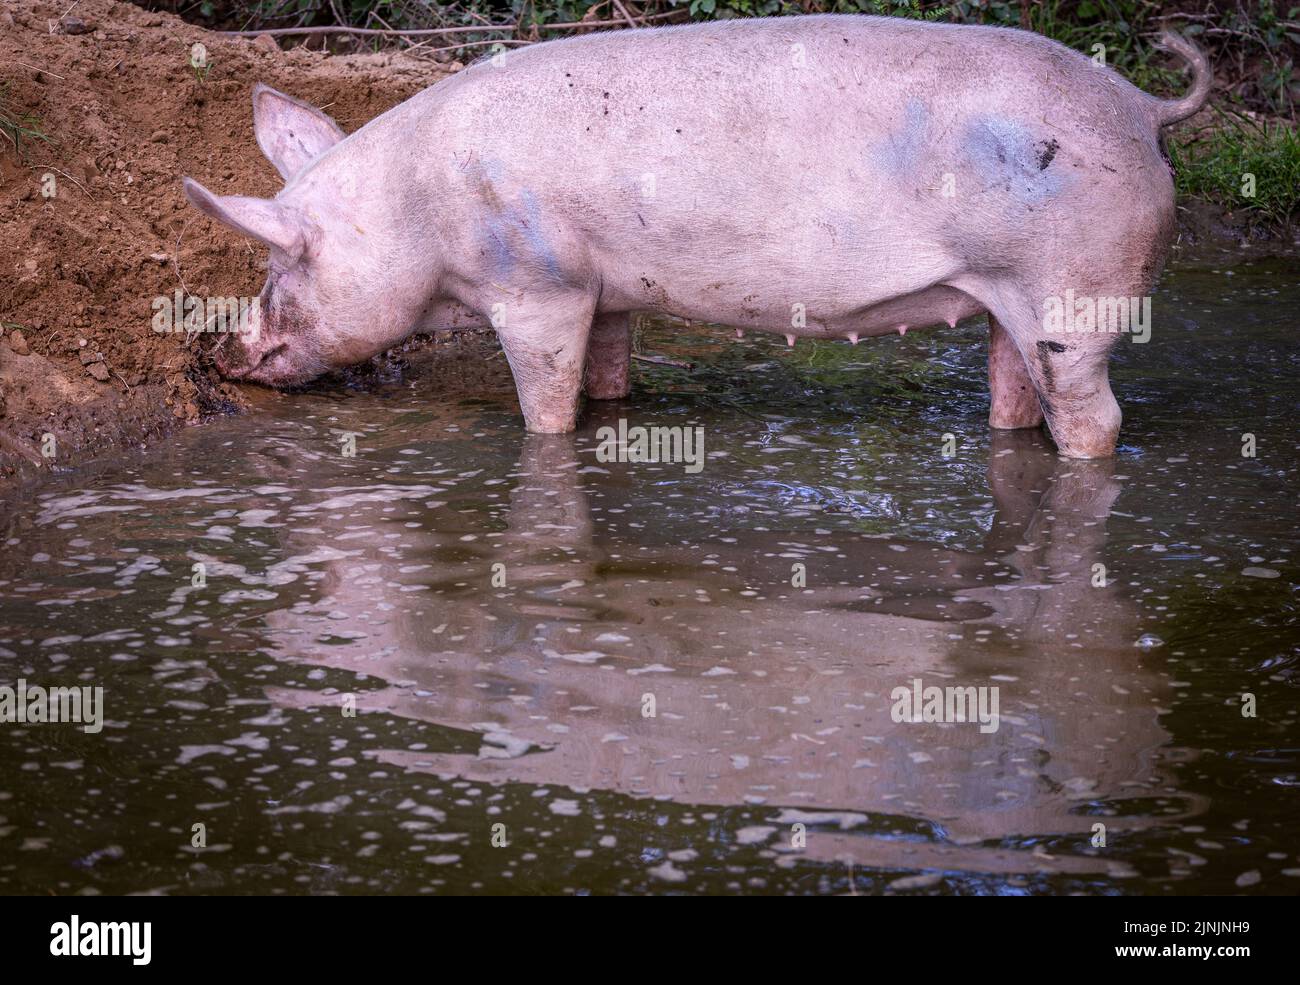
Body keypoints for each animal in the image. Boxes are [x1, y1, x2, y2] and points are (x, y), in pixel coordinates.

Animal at [180, 12, 1206, 460]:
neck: (419, 210)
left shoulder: (539, 288)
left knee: (1094, 416)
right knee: (1012, 391)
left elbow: (544, 403)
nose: (222, 353)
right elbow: (607, 375)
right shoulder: (606, 291)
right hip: (1011, 297)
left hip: (1074, 289)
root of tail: (1143, 106)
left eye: (279, 263)